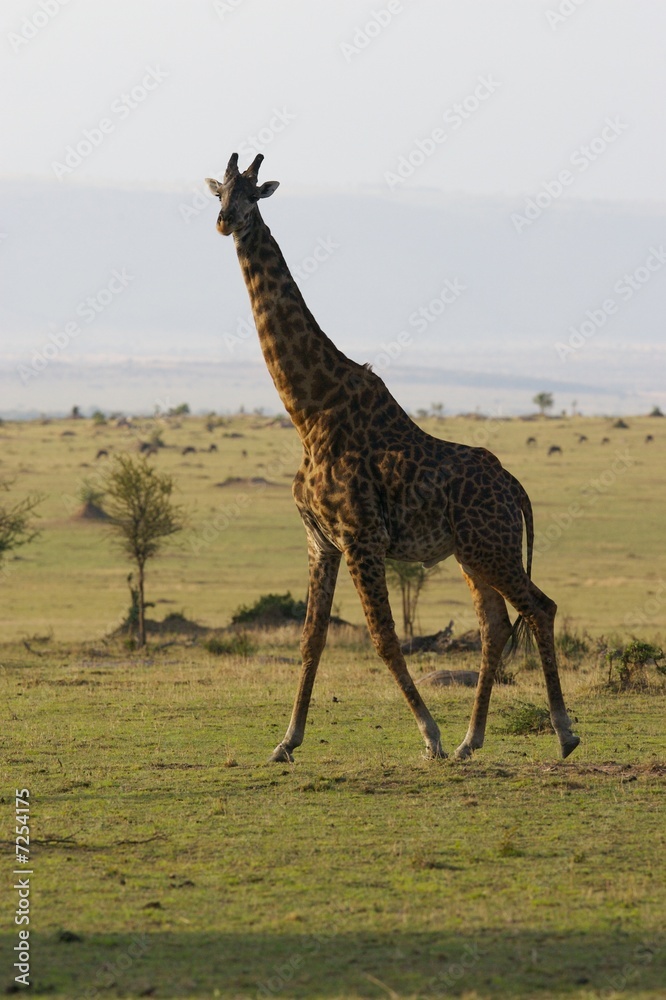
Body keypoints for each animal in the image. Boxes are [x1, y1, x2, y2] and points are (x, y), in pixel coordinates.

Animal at [206, 153, 580, 763]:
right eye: (219, 192)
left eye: (253, 194)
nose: (225, 221)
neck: (309, 412)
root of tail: (515, 488)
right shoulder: (321, 540)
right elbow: (311, 639)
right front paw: (286, 742)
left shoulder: (362, 537)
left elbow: (383, 639)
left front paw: (429, 735)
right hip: (471, 553)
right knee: (496, 626)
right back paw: (471, 741)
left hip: (491, 547)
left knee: (538, 607)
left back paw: (563, 733)